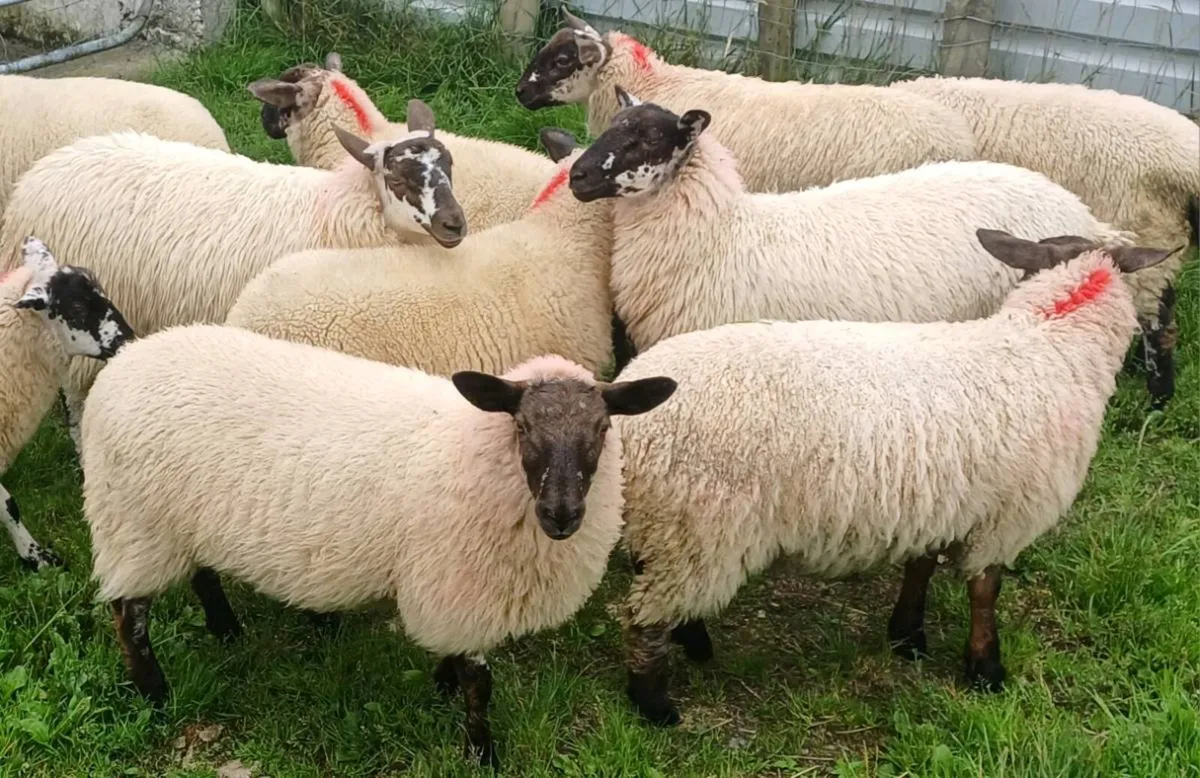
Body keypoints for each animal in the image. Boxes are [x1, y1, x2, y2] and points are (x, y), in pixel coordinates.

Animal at [0, 102, 465, 462]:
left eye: (449, 166)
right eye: (398, 179)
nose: (454, 224)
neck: (332, 211)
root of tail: (40, 174)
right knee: (76, 398)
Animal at [63, 266, 675, 765]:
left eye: (602, 429)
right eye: (522, 426)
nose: (561, 514)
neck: (469, 448)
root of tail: (129, 360)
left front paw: (442, 684)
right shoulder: (461, 590)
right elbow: (480, 688)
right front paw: (482, 753)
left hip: (180, 516)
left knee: (200, 571)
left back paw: (225, 628)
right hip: (133, 521)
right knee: (128, 617)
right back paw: (155, 694)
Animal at [612, 230, 1177, 726]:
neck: (1047, 340)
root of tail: (626, 418)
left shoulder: (936, 500)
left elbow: (920, 567)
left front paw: (907, 636)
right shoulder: (1005, 516)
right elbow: (985, 591)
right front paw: (985, 669)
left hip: (668, 524)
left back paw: (693, 644)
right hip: (699, 526)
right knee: (643, 617)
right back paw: (654, 705)